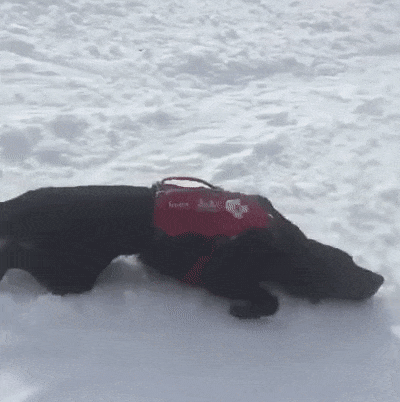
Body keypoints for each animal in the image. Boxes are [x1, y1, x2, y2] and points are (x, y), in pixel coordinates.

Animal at [0, 177, 384, 318]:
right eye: (344, 269)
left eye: (351, 259)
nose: (380, 279)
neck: (282, 246)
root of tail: (17, 205)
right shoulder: (218, 275)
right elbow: (271, 301)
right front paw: (244, 310)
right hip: (75, 269)